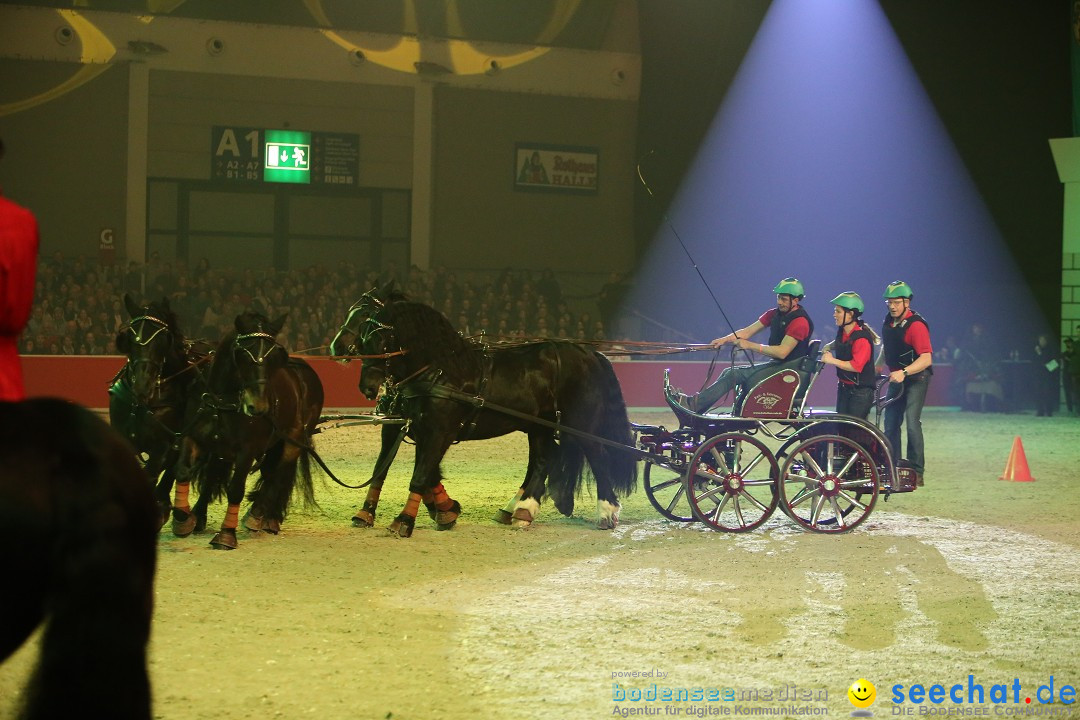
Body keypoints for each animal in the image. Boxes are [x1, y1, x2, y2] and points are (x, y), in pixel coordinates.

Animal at [170, 310, 324, 552]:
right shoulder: (194, 436)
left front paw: (226, 535)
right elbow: (183, 471)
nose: (258, 407)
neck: (222, 401)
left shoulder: (247, 450)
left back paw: (260, 516)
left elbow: (236, 489)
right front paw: (182, 520)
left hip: (293, 439)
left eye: (274, 356)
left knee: (278, 475)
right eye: (243, 353)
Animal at [328, 284, 630, 537]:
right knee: (543, 459)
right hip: (540, 424)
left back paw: (606, 511)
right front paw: (443, 510)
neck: (440, 369)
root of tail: (591, 354)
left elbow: (421, 474)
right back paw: (520, 510)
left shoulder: (438, 431)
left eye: (375, 331)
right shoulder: (409, 427)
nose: (336, 348)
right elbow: (400, 470)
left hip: (580, 422)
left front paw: (405, 520)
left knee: (597, 455)